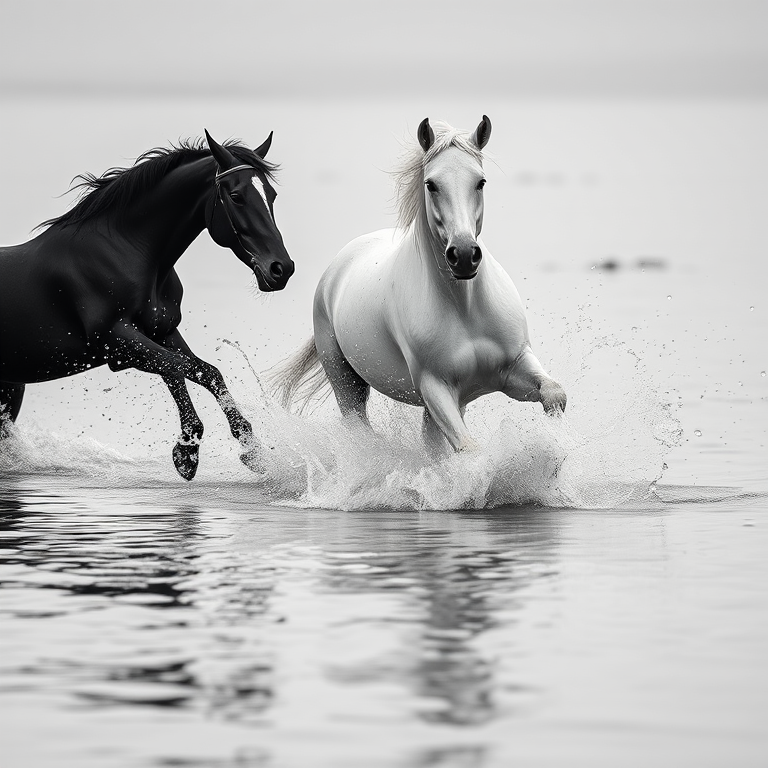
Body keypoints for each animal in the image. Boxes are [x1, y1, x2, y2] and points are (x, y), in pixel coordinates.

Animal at [0, 130, 294, 480]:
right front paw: (188, 451)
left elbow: (204, 372)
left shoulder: (161, 331)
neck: (128, 252)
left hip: (10, 389)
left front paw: (250, 450)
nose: (281, 269)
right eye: (236, 196)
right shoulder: (117, 342)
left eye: (272, 195)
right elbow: (182, 367)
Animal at [274, 116, 566, 454]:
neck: (465, 309)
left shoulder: (513, 367)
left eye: (480, 182)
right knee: (359, 426)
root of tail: (337, 267)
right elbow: (468, 448)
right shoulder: (435, 387)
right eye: (431, 184)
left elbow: (555, 393)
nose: (463, 256)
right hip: (346, 383)